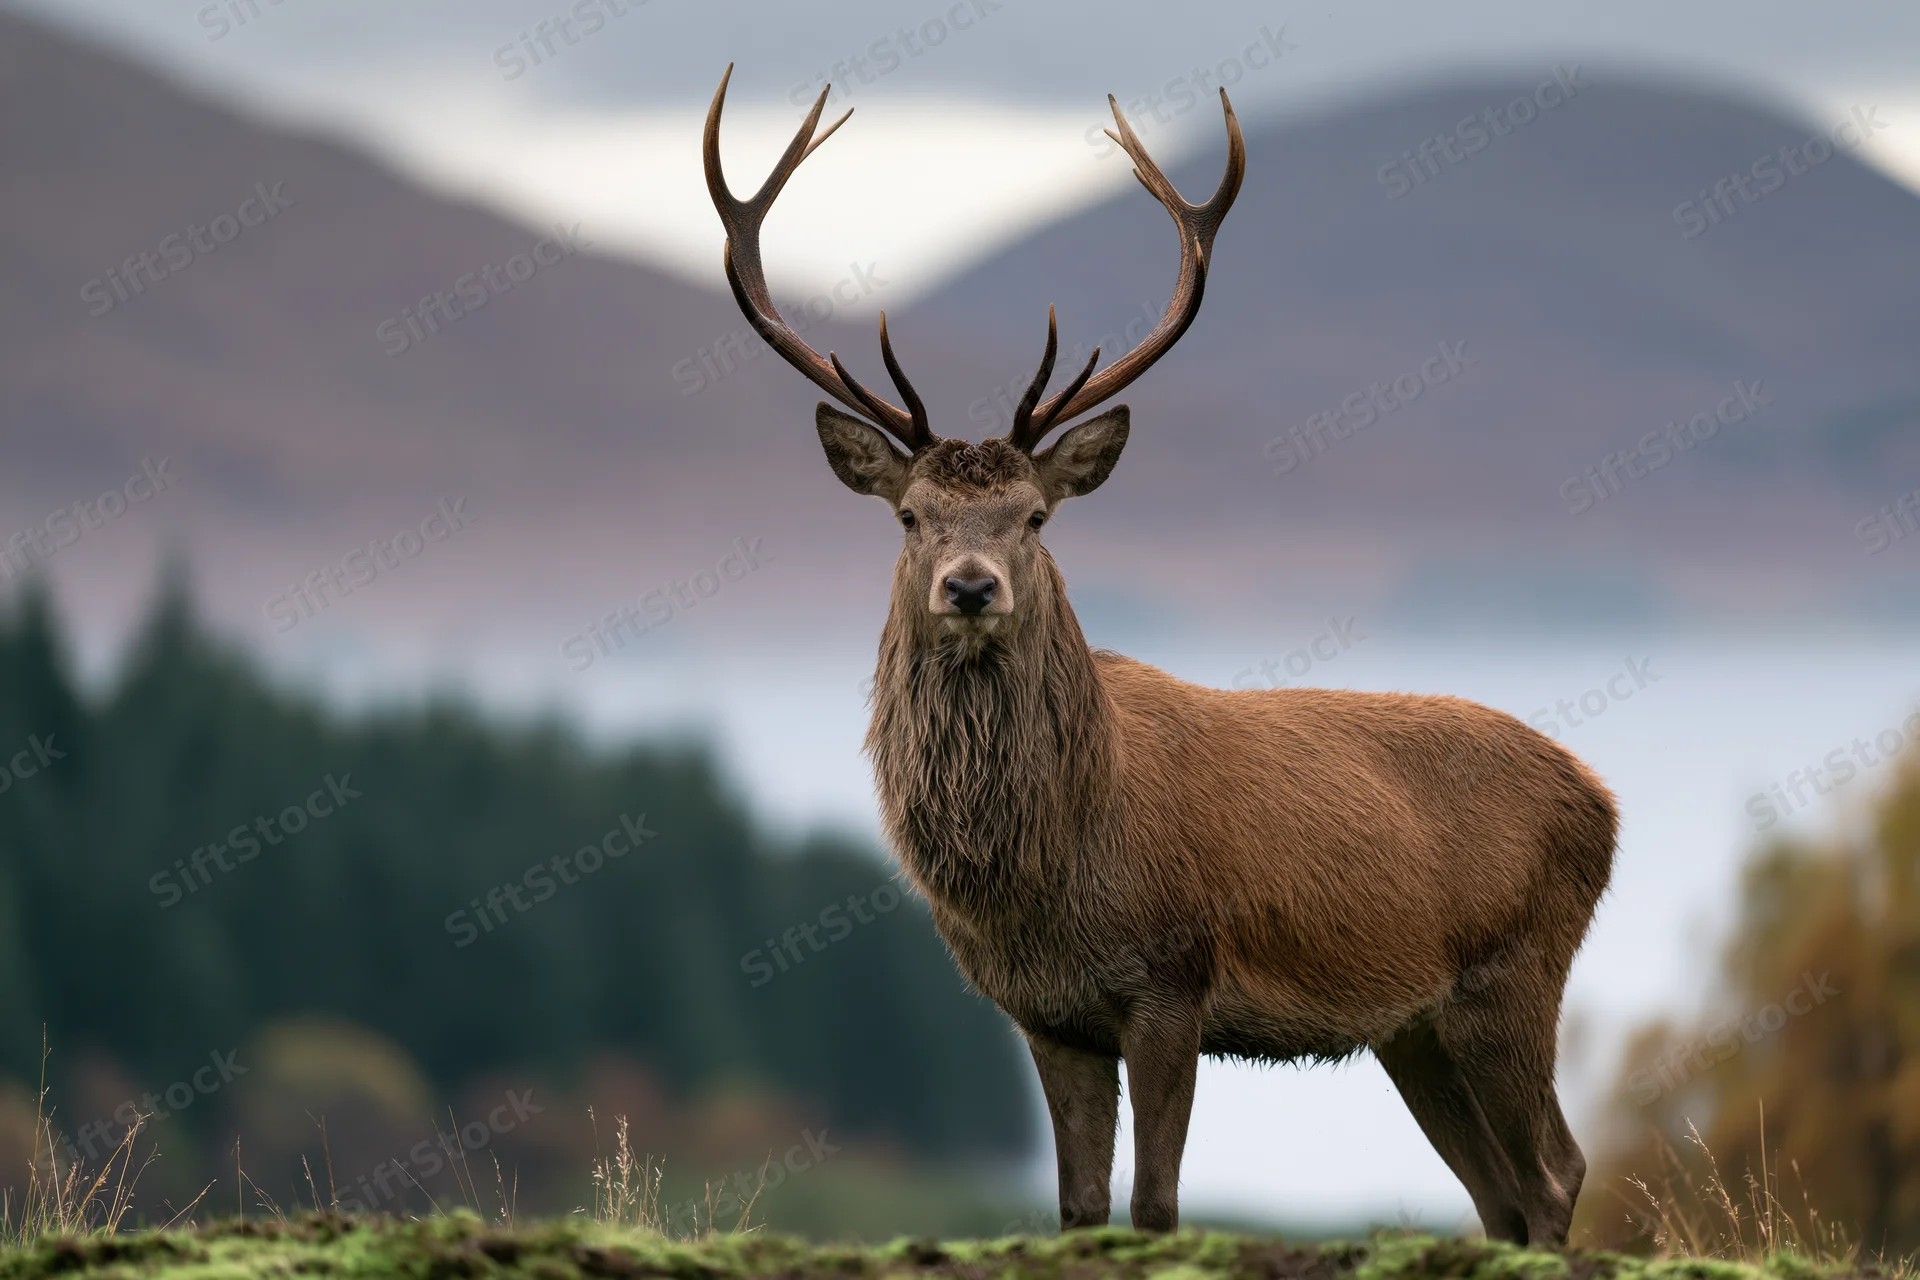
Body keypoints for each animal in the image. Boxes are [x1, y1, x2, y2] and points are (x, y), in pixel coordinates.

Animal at [701, 65, 1616, 1244]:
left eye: (1035, 514)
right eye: (909, 515)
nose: (971, 587)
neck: (1049, 872)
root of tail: (1603, 801)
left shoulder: (1173, 979)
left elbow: (1156, 1201)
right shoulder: (1045, 1015)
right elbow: (1080, 1205)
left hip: (1514, 973)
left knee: (1555, 1173)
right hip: (1413, 1028)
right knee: (1500, 1194)